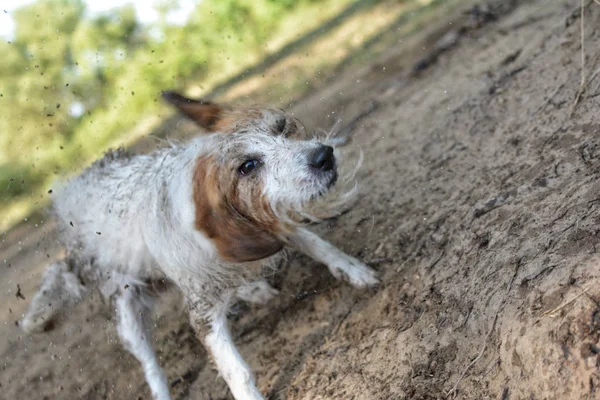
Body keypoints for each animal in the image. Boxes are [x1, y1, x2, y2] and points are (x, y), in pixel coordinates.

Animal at [21, 91, 378, 400]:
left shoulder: (263, 223)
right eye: (248, 166)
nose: (323, 156)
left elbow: (316, 243)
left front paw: (354, 270)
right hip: (127, 310)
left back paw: (252, 289)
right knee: (151, 366)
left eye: (280, 127)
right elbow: (237, 371)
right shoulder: (203, 314)